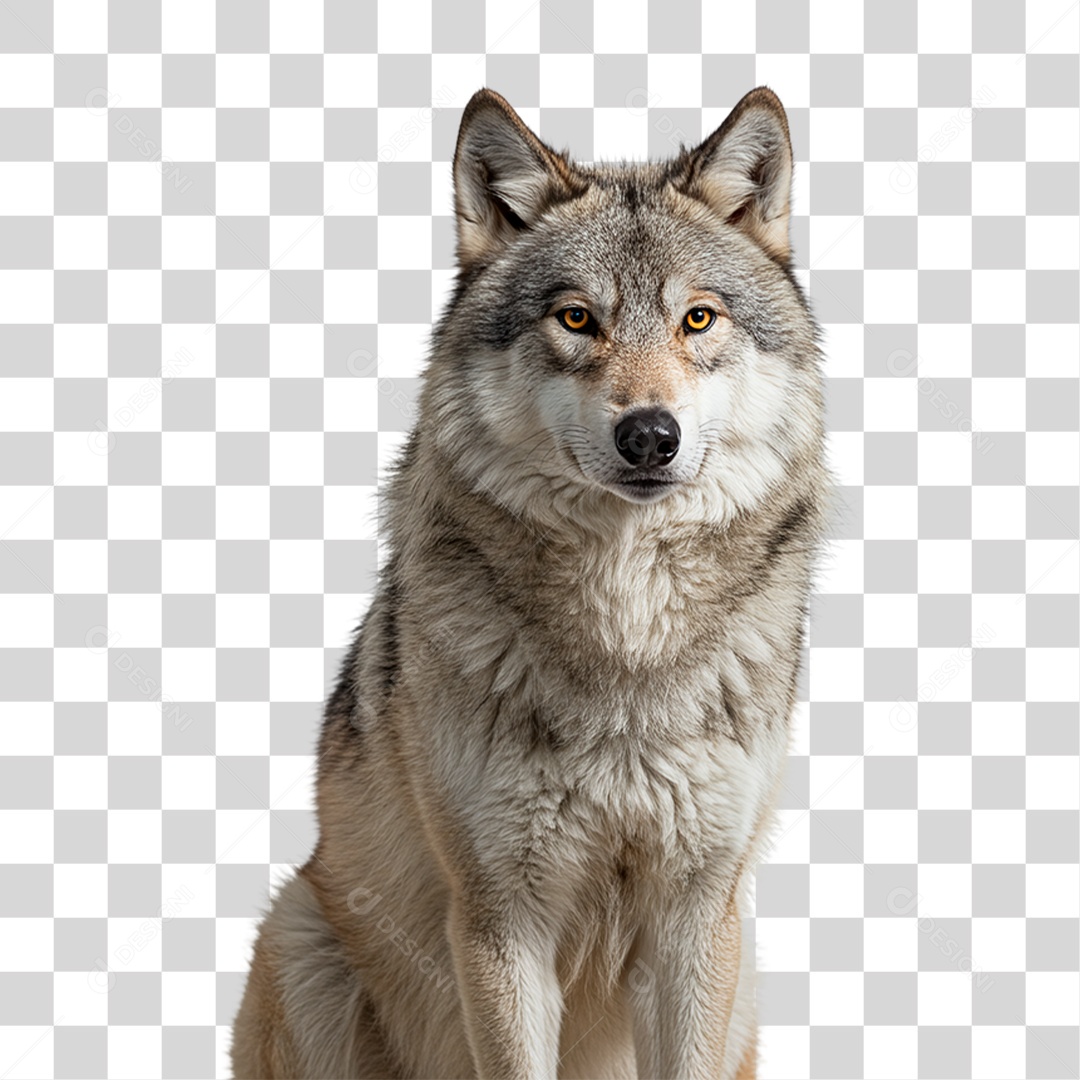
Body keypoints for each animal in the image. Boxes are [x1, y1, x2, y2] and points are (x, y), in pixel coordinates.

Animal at [231, 85, 830, 1080]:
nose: (649, 435)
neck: (626, 635)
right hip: (300, 934)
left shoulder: (697, 916)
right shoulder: (500, 919)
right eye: (577, 319)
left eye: (697, 319)